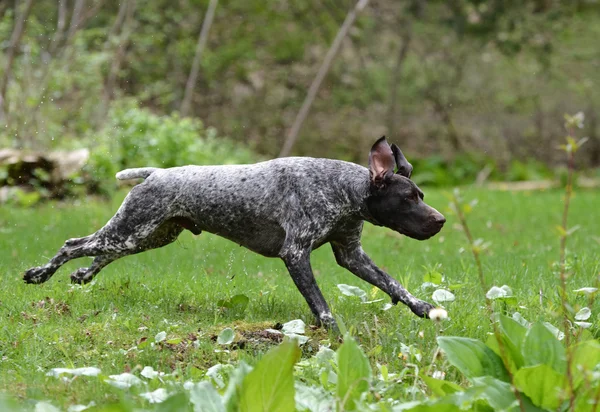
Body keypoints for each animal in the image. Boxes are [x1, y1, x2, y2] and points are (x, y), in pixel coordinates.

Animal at [23, 138, 446, 328]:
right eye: (408, 197)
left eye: (421, 195)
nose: (440, 220)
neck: (343, 189)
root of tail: (157, 173)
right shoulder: (296, 254)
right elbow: (322, 306)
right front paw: (334, 333)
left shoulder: (351, 255)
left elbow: (394, 285)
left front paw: (425, 307)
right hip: (131, 232)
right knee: (73, 244)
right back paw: (41, 273)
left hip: (147, 236)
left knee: (98, 253)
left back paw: (83, 274)